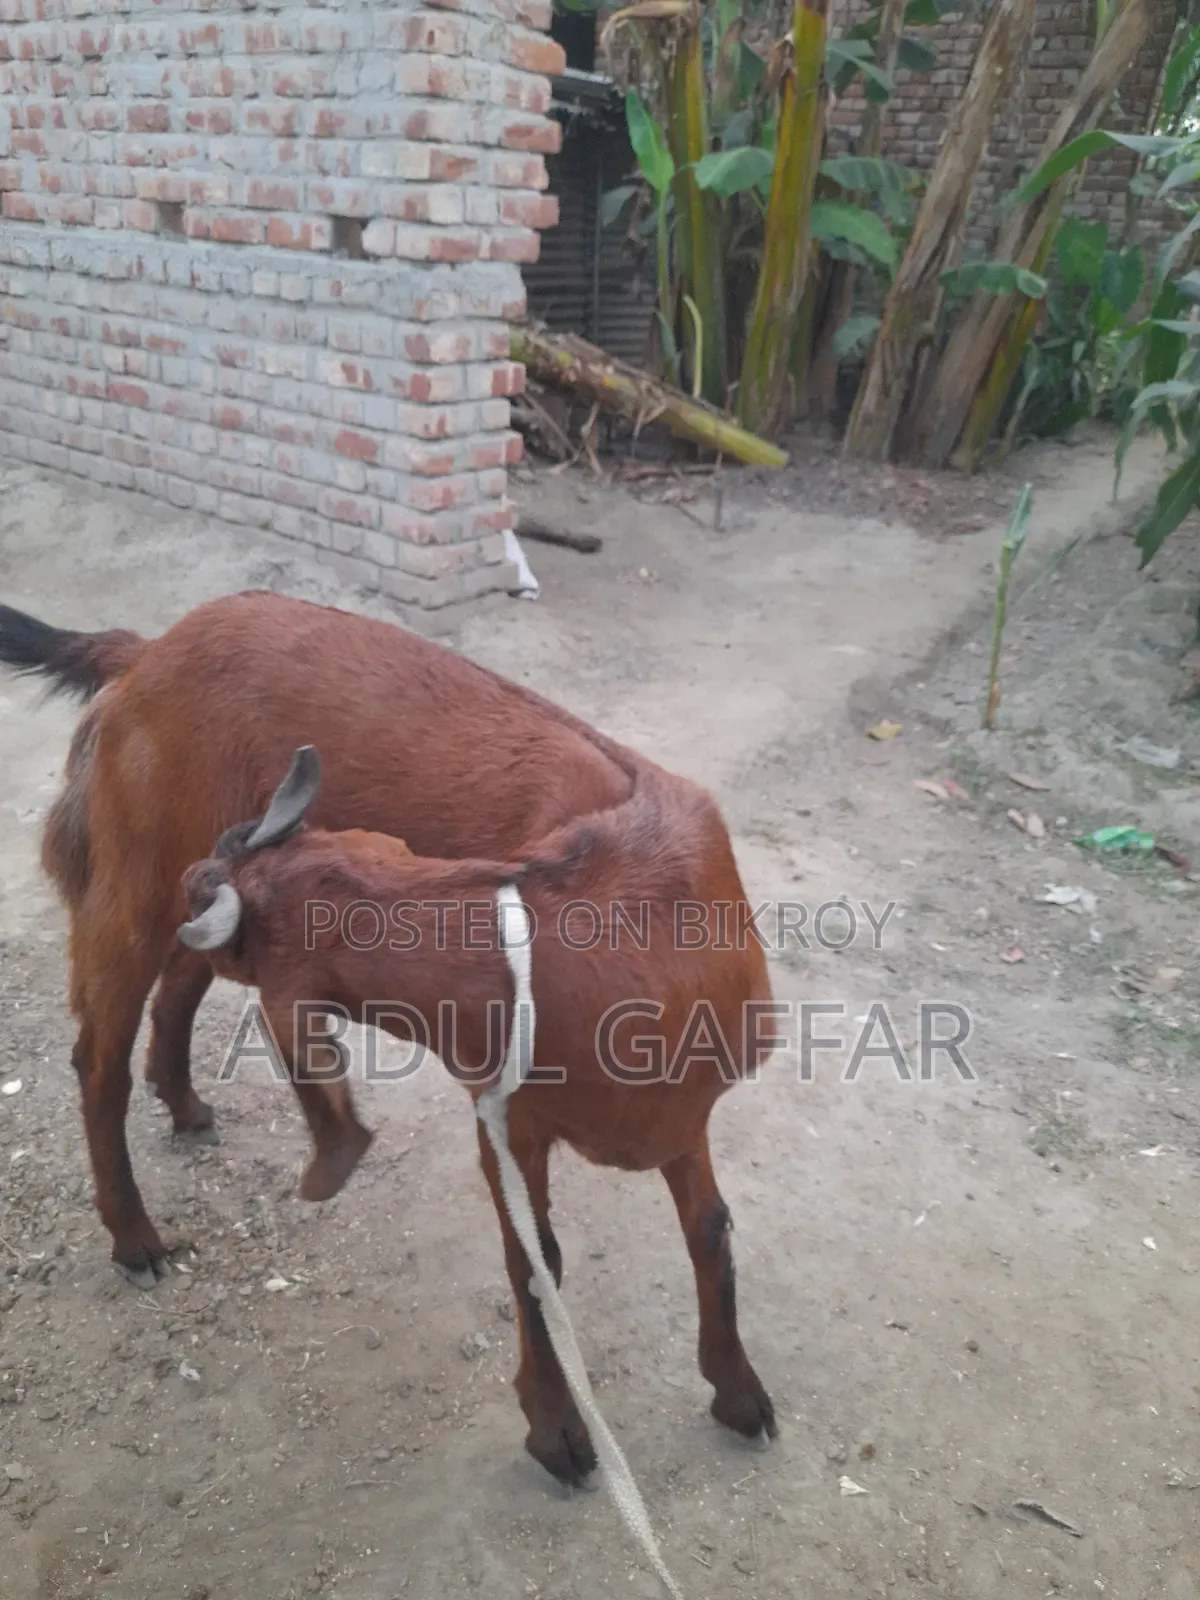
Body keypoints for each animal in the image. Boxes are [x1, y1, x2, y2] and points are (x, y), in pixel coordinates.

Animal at [0, 591, 638, 1285]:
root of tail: (148, 652)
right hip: (138, 896)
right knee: (98, 1064)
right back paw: (133, 1236)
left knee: (175, 995)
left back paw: (183, 1105)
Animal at [176, 745, 778, 1486]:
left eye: (235, 940)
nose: (191, 872)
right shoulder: (506, 1119)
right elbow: (536, 1261)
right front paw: (559, 1432)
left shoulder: (685, 1116)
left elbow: (711, 1231)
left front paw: (739, 1392)